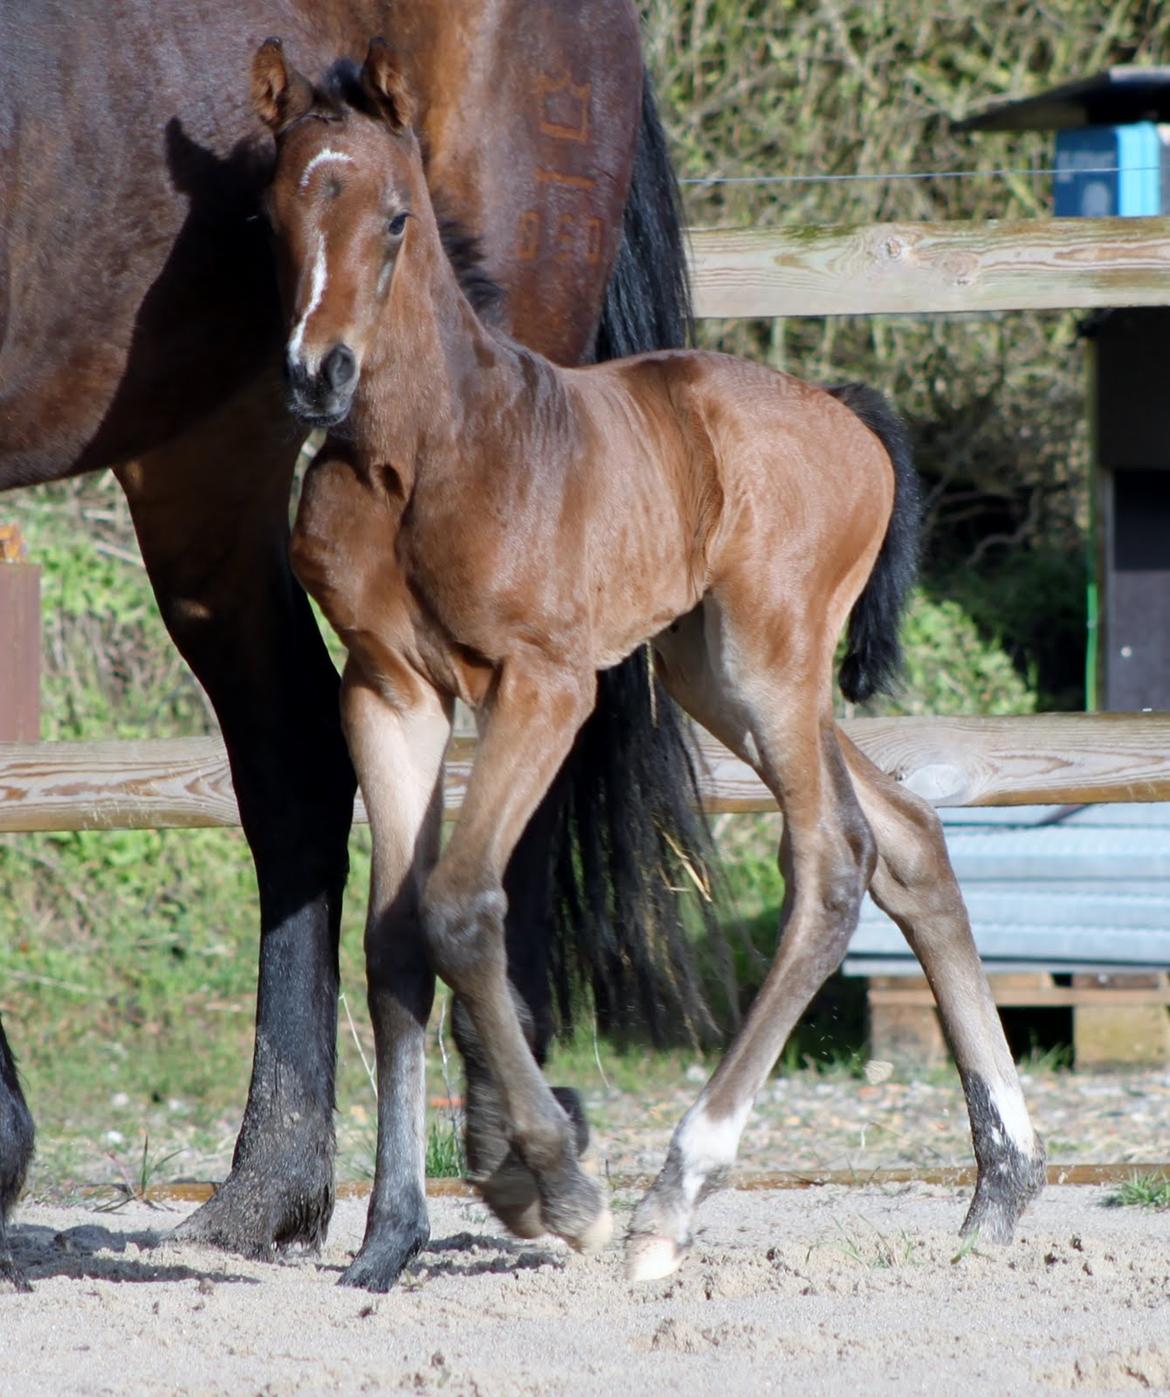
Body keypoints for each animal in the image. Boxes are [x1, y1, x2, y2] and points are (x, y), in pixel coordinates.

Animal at [0, 2, 714, 1285]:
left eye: (395, 217)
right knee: (297, 765)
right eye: (268, 219)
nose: (316, 370)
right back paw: (272, 1190)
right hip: (202, 457)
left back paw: (516, 1146)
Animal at [251, 38, 1049, 1279]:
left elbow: (461, 905)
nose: (316, 375)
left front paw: (563, 1185)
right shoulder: (388, 688)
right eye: (277, 212)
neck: (422, 453)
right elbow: (392, 941)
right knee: (909, 835)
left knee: (834, 861)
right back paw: (1002, 1179)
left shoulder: (544, 684)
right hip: (711, 673)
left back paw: (675, 1191)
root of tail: (850, 418)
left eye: (393, 217)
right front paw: (386, 1239)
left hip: (770, 662)